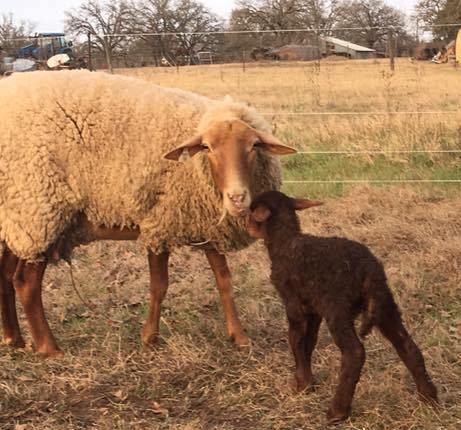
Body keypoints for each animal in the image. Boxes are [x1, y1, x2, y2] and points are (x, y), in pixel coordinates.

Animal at [0, 69, 294, 354]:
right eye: (207, 147)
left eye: (254, 145)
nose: (236, 198)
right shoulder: (161, 221)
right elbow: (159, 285)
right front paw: (150, 338)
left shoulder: (206, 225)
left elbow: (225, 281)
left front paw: (239, 337)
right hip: (37, 214)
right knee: (26, 282)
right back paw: (48, 348)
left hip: (14, 220)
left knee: (5, 276)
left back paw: (14, 339)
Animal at [246, 191, 436, 424]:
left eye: (252, 212)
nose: (245, 225)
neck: (285, 242)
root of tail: (370, 271)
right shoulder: (314, 309)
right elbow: (309, 342)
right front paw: (308, 380)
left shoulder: (293, 304)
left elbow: (296, 341)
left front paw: (301, 384)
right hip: (385, 306)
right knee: (407, 345)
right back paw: (429, 398)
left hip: (338, 308)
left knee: (354, 352)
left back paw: (337, 411)